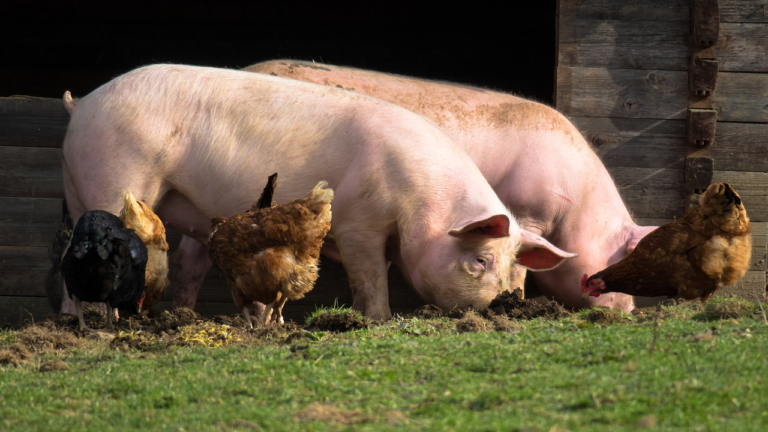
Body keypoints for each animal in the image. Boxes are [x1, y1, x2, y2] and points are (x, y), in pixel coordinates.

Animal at [60, 64, 572, 320]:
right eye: (480, 260)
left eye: (510, 265)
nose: (503, 306)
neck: (422, 204)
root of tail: (83, 104)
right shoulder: (358, 224)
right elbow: (371, 280)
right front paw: (377, 321)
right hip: (118, 175)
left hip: (79, 187)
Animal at [243, 60, 656, 310]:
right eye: (620, 259)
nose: (628, 311)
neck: (577, 208)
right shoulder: (527, 213)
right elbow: (519, 267)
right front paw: (517, 301)